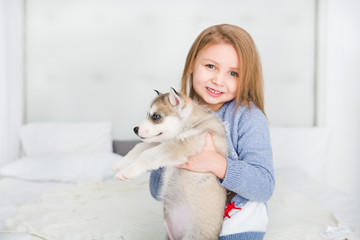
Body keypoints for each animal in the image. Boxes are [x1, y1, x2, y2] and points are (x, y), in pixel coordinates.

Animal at [112, 88, 226, 240]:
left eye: (156, 116)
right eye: (147, 114)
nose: (135, 129)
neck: (191, 123)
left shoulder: (178, 146)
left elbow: (147, 155)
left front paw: (127, 172)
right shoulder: (160, 143)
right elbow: (140, 147)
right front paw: (120, 164)